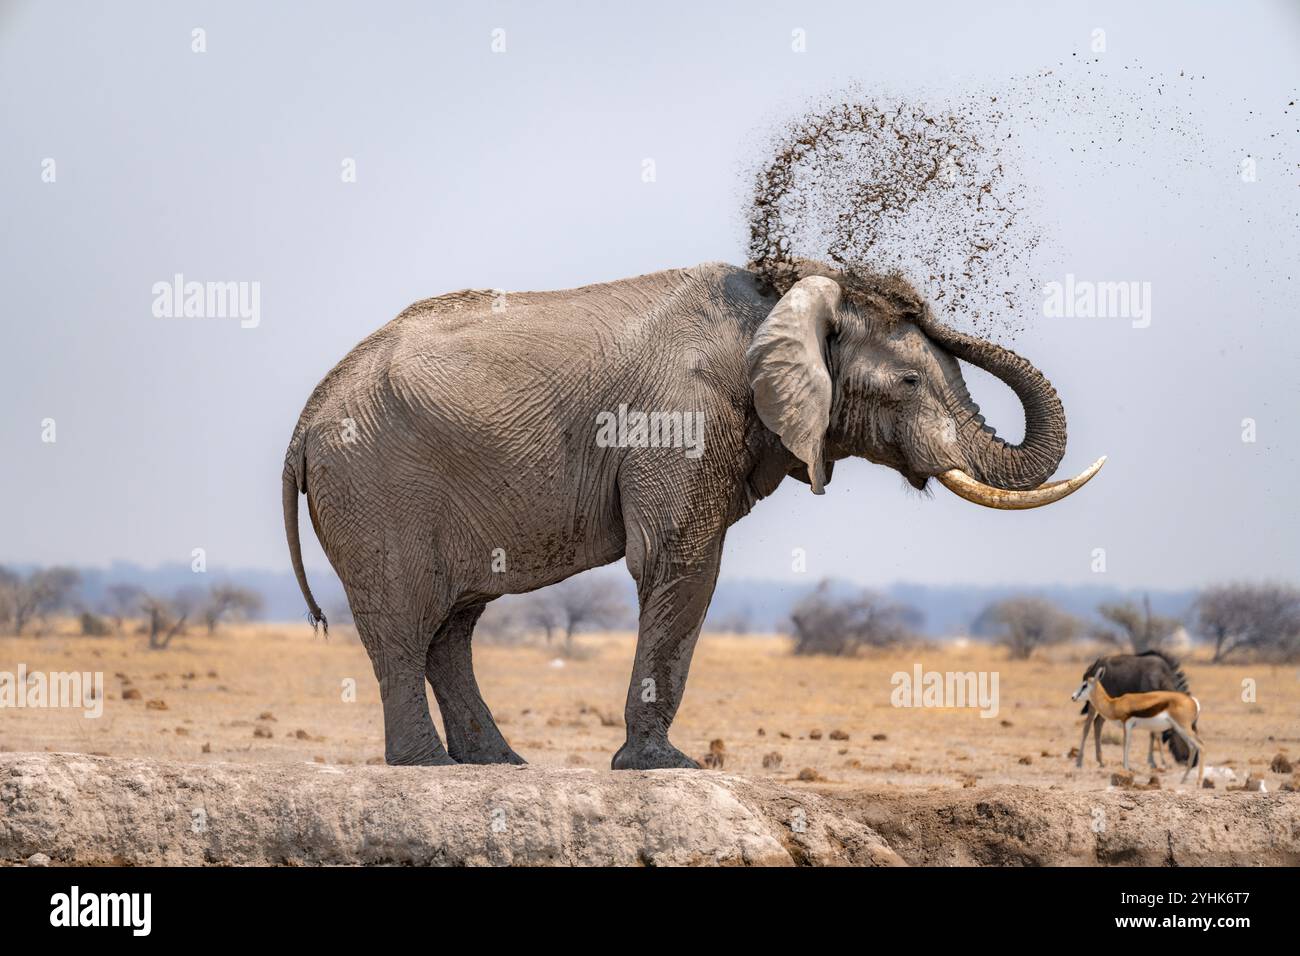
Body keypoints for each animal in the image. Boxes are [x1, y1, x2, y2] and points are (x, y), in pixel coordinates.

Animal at [284, 260, 1107, 770]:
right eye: (907, 381)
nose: (904, 292)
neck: (776, 309)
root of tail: (305, 422)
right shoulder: (678, 420)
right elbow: (680, 559)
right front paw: (665, 767)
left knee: (453, 624)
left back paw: (496, 764)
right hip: (375, 486)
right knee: (405, 620)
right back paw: (425, 764)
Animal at [1066, 665, 1206, 785]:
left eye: (1084, 685)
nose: (1073, 697)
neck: (1114, 704)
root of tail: (1193, 701)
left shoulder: (1127, 724)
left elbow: (1126, 745)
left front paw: (1126, 771)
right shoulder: (1129, 726)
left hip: (1184, 727)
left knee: (1201, 745)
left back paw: (1198, 782)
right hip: (1180, 729)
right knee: (1193, 747)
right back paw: (1183, 779)